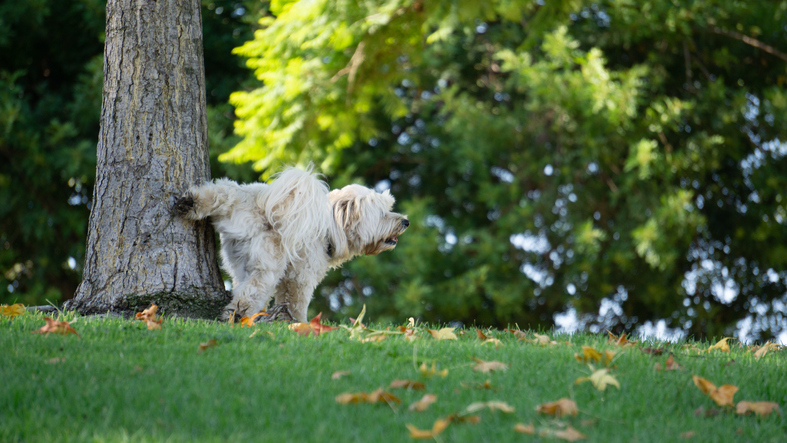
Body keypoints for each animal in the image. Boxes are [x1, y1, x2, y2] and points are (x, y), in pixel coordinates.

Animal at [175, 166, 410, 322]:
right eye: (383, 213)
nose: (406, 221)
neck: (331, 226)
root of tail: (259, 210)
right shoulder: (300, 276)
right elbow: (296, 301)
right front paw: (299, 324)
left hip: (236, 228)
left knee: (220, 192)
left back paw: (191, 202)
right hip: (268, 267)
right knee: (250, 294)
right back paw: (238, 315)